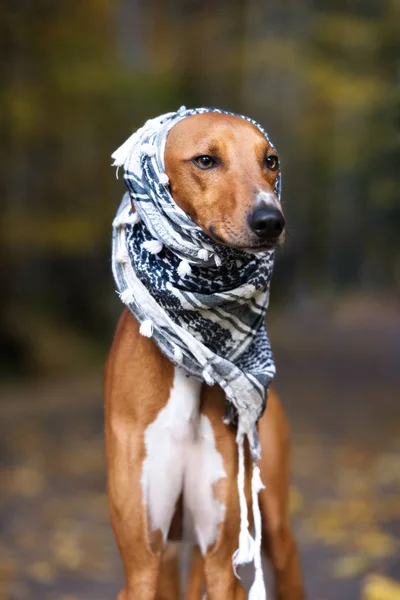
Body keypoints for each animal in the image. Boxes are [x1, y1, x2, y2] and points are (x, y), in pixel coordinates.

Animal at [103, 113, 304, 600]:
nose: (271, 220)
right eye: (206, 160)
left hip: (273, 533)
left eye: (270, 160)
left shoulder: (219, 558)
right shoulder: (141, 563)